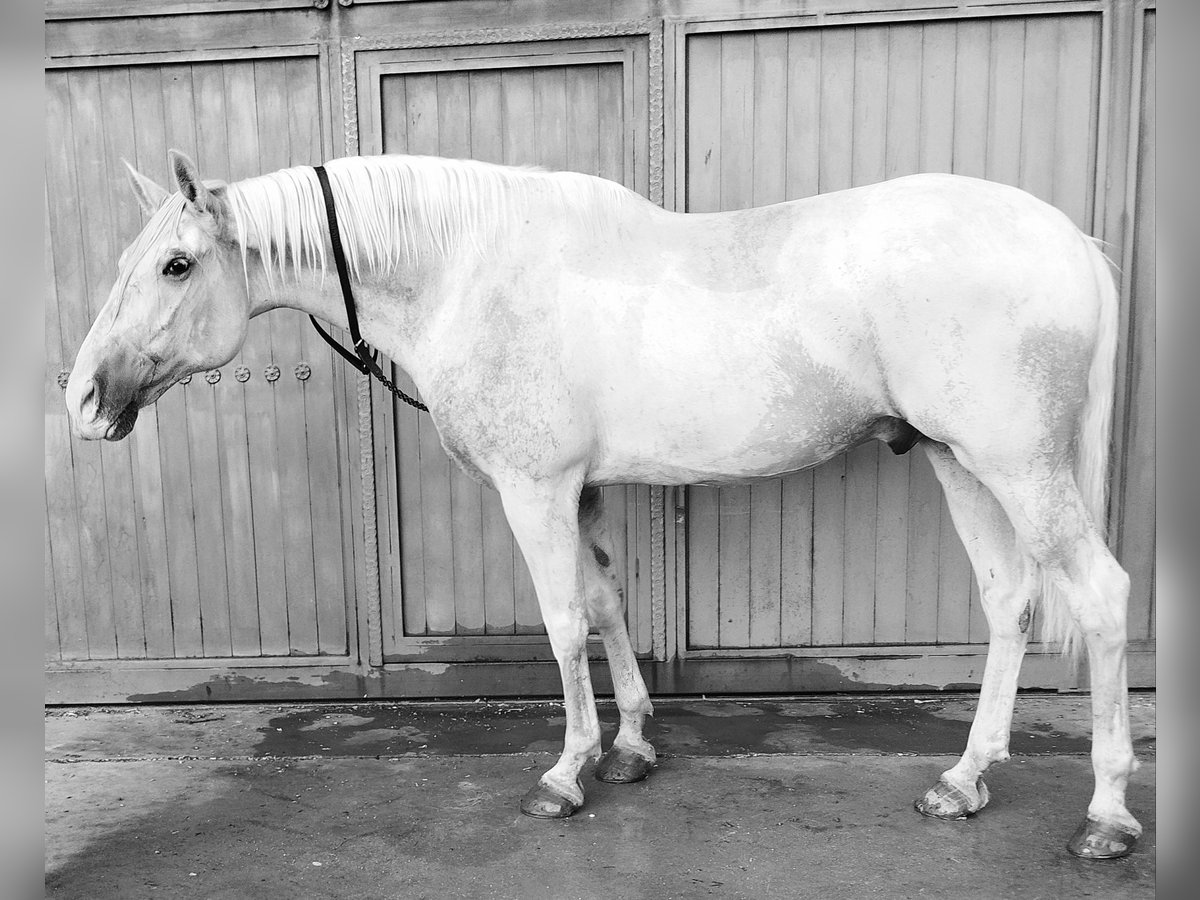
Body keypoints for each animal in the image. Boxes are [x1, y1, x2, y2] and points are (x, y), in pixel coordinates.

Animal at [65, 153, 1142, 859]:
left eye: (175, 265)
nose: (81, 399)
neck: (468, 273)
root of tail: (1071, 241)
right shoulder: (580, 489)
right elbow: (609, 604)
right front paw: (628, 749)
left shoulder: (536, 488)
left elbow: (561, 620)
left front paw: (566, 774)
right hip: (961, 462)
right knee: (1009, 600)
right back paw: (965, 779)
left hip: (1017, 467)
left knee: (1098, 596)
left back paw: (1106, 814)